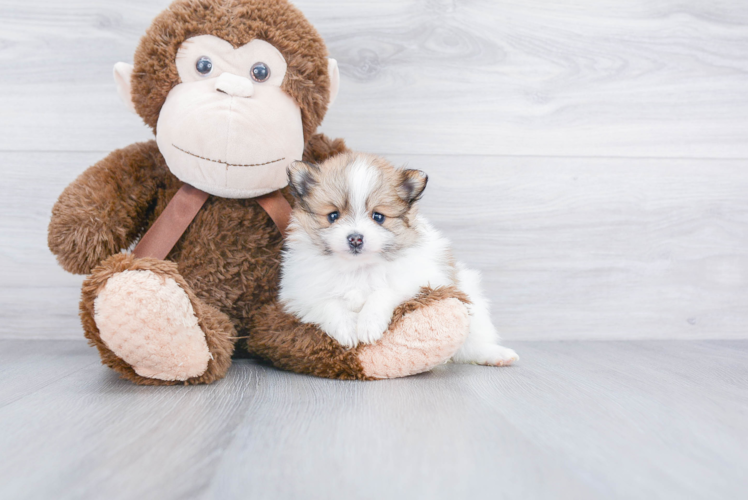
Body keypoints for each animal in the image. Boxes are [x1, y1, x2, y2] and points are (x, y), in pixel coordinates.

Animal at [278, 152, 516, 368]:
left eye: (378, 217)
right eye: (333, 216)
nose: (355, 238)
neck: (358, 268)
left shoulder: (417, 280)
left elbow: (383, 292)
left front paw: (368, 324)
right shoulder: (301, 292)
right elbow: (329, 303)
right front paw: (347, 329)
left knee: (472, 344)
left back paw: (497, 355)